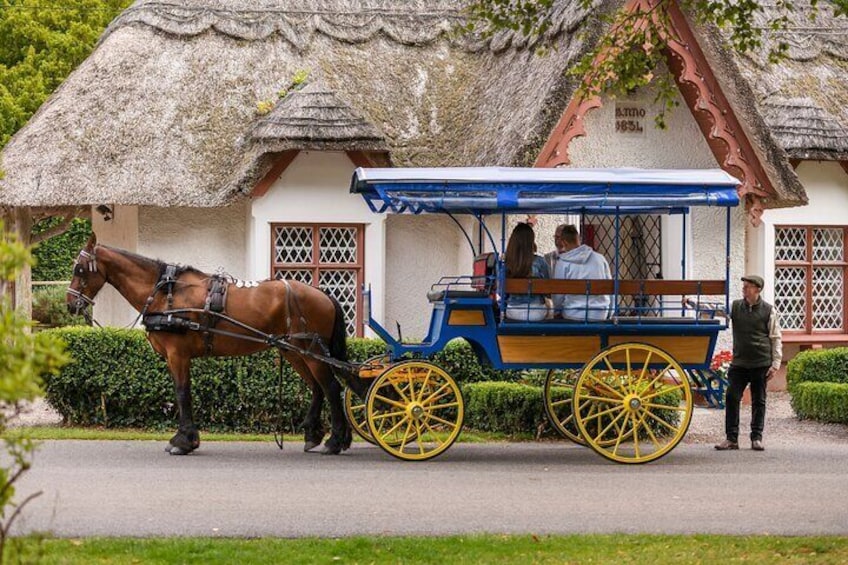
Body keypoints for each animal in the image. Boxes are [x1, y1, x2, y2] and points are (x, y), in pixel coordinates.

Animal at [67, 232, 368, 454]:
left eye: (79, 269)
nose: (71, 304)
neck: (167, 294)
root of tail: (322, 293)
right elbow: (181, 393)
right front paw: (185, 438)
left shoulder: (178, 354)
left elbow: (182, 393)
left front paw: (184, 441)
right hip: (295, 351)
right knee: (318, 388)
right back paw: (314, 435)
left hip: (311, 350)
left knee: (331, 388)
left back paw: (334, 441)